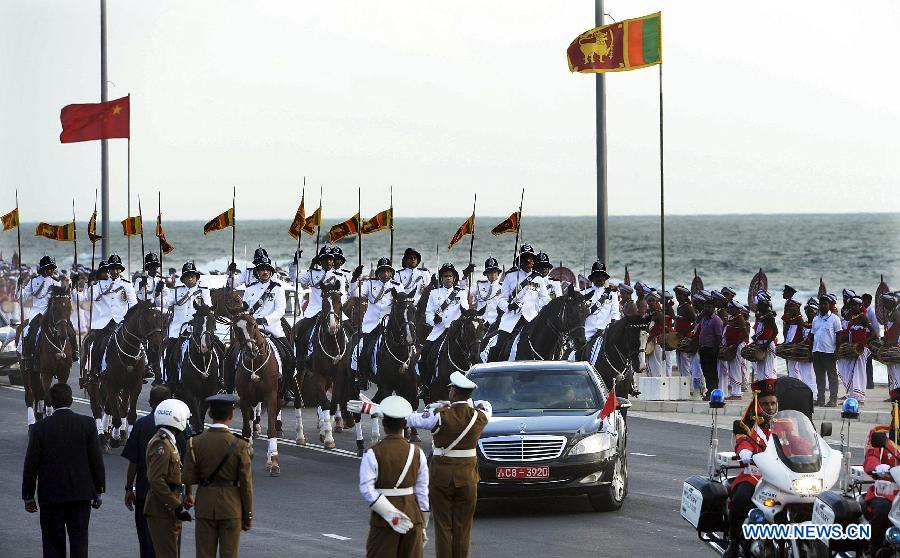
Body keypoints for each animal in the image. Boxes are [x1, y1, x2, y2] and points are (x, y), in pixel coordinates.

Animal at [21, 288, 74, 424]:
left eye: (69, 308)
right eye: (54, 308)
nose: (63, 334)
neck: (56, 342)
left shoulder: (64, 372)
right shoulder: (46, 374)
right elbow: (48, 401)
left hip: (35, 372)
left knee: (38, 395)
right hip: (25, 368)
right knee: (30, 395)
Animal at [87, 302, 164, 450]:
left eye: (160, 319)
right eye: (147, 321)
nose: (157, 347)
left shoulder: (135, 385)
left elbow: (130, 414)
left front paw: (124, 436)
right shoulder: (112, 385)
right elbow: (116, 417)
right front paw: (115, 439)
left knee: (112, 407)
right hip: (93, 381)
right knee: (97, 408)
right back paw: (102, 437)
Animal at [175, 304, 224, 436]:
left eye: (213, 321)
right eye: (196, 321)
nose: (205, 346)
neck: (202, 362)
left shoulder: (210, 391)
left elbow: (201, 413)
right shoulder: (189, 391)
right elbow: (195, 413)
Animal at [229, 312, 282, 480]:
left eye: (253, 324)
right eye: (236, 328)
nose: (251, 351)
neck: (255, 364)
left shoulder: (271, 397)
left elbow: (271, 429)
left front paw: (274, 462)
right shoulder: (244, 399)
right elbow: (247, 429)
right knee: (252, 421)